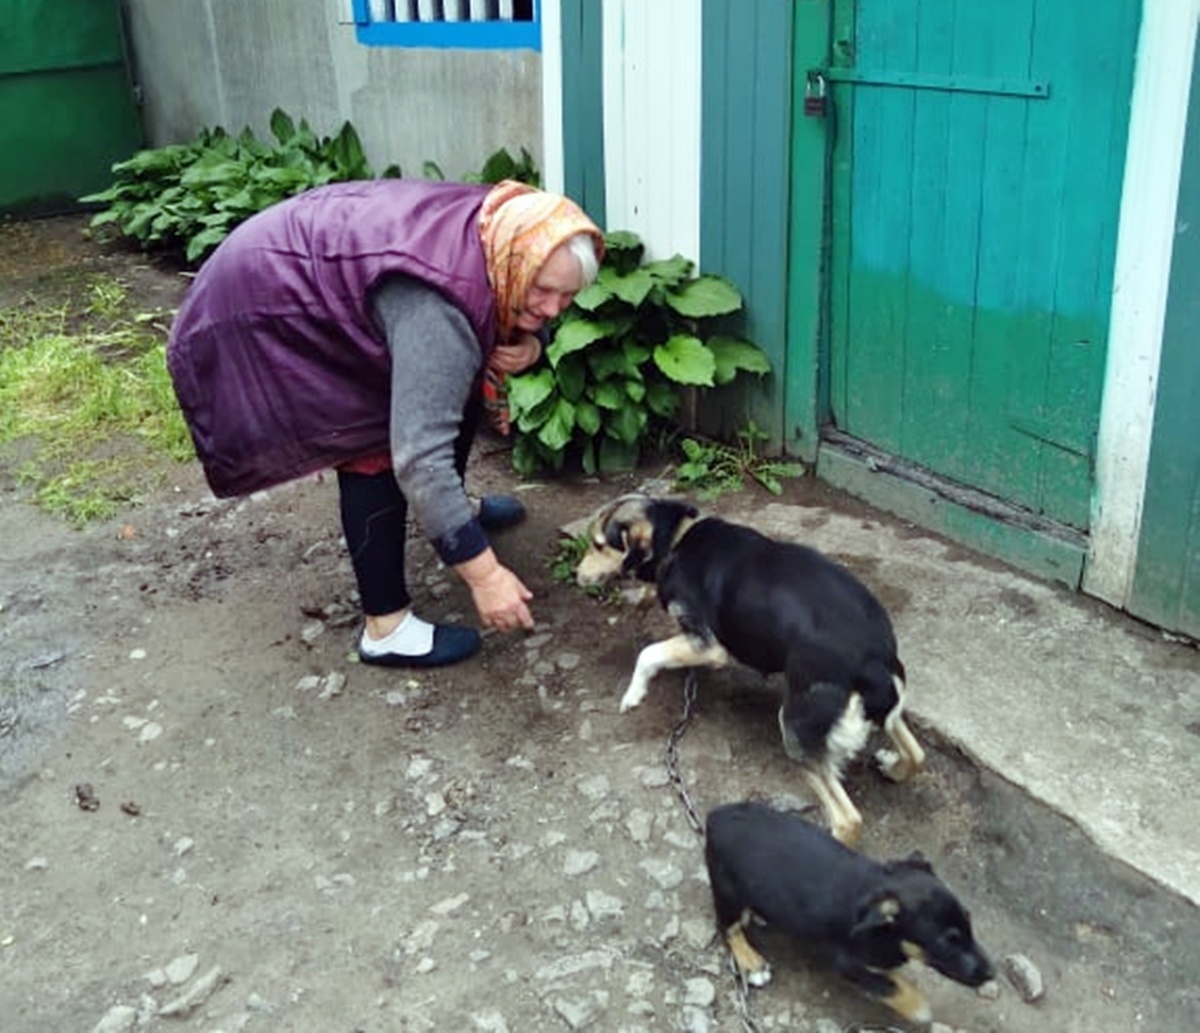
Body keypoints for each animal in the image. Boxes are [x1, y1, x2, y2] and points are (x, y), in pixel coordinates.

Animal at [574, 493, 925, 844]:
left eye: (598, 545)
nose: (576, 575)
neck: (676, 539)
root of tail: (874, 664)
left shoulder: (709, 645)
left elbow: (647, 654)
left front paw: (634, 694)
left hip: (796, 729)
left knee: (849, 819)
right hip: (888, 709)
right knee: (917, 754)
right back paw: (892, 767)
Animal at [705, 801, 994, 1024]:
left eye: (969, 924)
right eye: (948, 942)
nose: (991, 973)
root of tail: (715, 817)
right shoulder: (847, 962)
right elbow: (890, 986)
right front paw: (920, 1009)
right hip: (728, 890)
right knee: (728, 927)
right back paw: (752, 962)